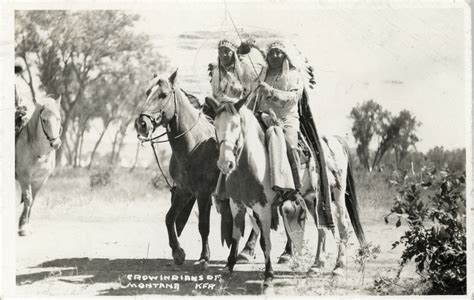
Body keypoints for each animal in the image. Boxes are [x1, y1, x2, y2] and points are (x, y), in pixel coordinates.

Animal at [15, 96, 61, 237]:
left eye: (58, 118)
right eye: (44, 120)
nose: (56, 143)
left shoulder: (40, 180)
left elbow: (32, 201)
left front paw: (26, 225)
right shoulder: (24, 177)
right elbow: (28, 199)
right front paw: (23, 227)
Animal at [211, 98, 366, 286]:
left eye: (235, 125)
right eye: (215, 125)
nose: (225, 164)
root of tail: (336, 140)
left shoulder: (263, 207)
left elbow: (265, 241)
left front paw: (269, 275)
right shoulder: (236, 204)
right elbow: (235, 235)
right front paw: (228, 266)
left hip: (337, 195)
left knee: (343, 226)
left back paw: (338, 268)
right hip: (313, 199)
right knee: (321, 229)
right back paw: (316, 265)